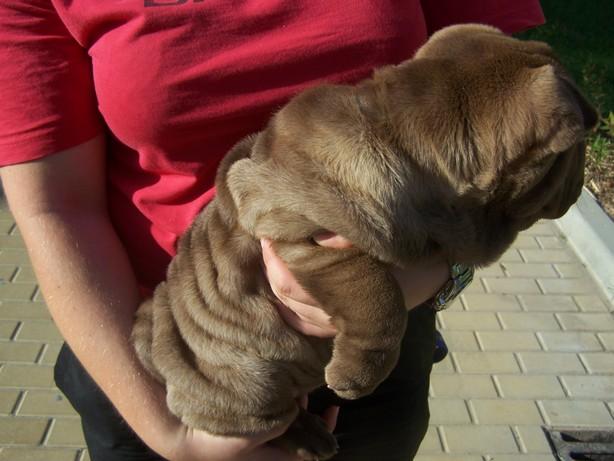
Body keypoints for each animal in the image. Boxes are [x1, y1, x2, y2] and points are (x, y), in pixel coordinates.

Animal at [132, 26, 600, 460]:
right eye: (578, 149)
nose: (582, 180)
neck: (402, 139)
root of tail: (153, 339)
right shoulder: (296, 229)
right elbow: (375, 291)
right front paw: (360, 370)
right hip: (251, 392)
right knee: (275, 420)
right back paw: (310, 436)